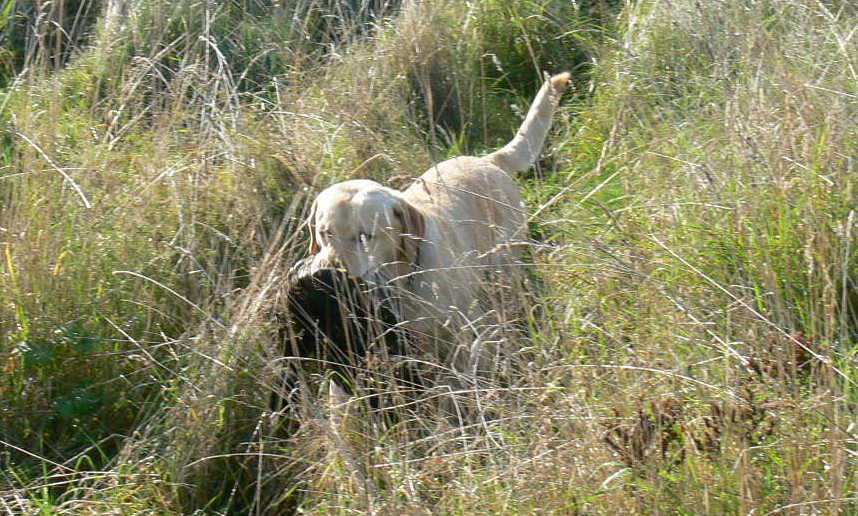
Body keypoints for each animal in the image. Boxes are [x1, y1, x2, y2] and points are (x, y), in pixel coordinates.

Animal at [300, 71, 568, 342]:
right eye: (324, 233)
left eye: (366, 236)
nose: (322, 274)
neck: (405, 275)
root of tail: (487, 160)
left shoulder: (469, 324)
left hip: (506, 263)